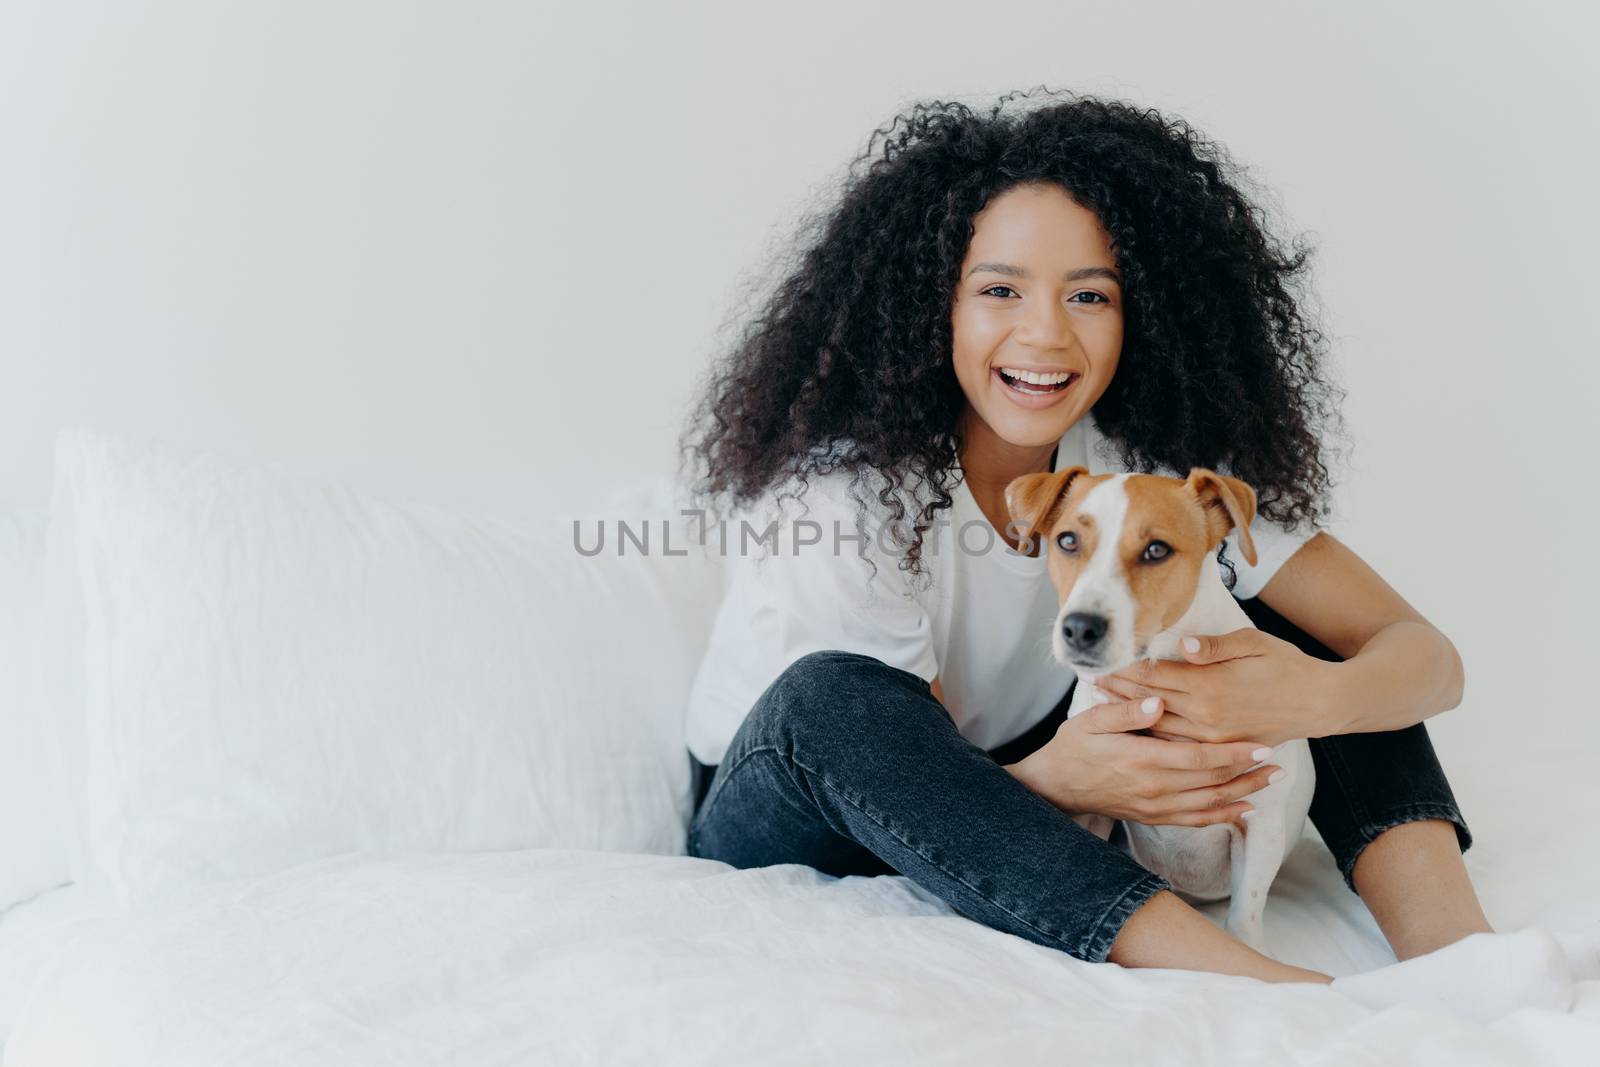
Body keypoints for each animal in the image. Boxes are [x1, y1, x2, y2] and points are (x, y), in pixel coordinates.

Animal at [1004, 463, 1318, 947]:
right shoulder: (1093, 805)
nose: (1080, 628)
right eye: (1068, 540)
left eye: (1156, 550)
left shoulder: (1259, 825)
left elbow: (1244, 917)